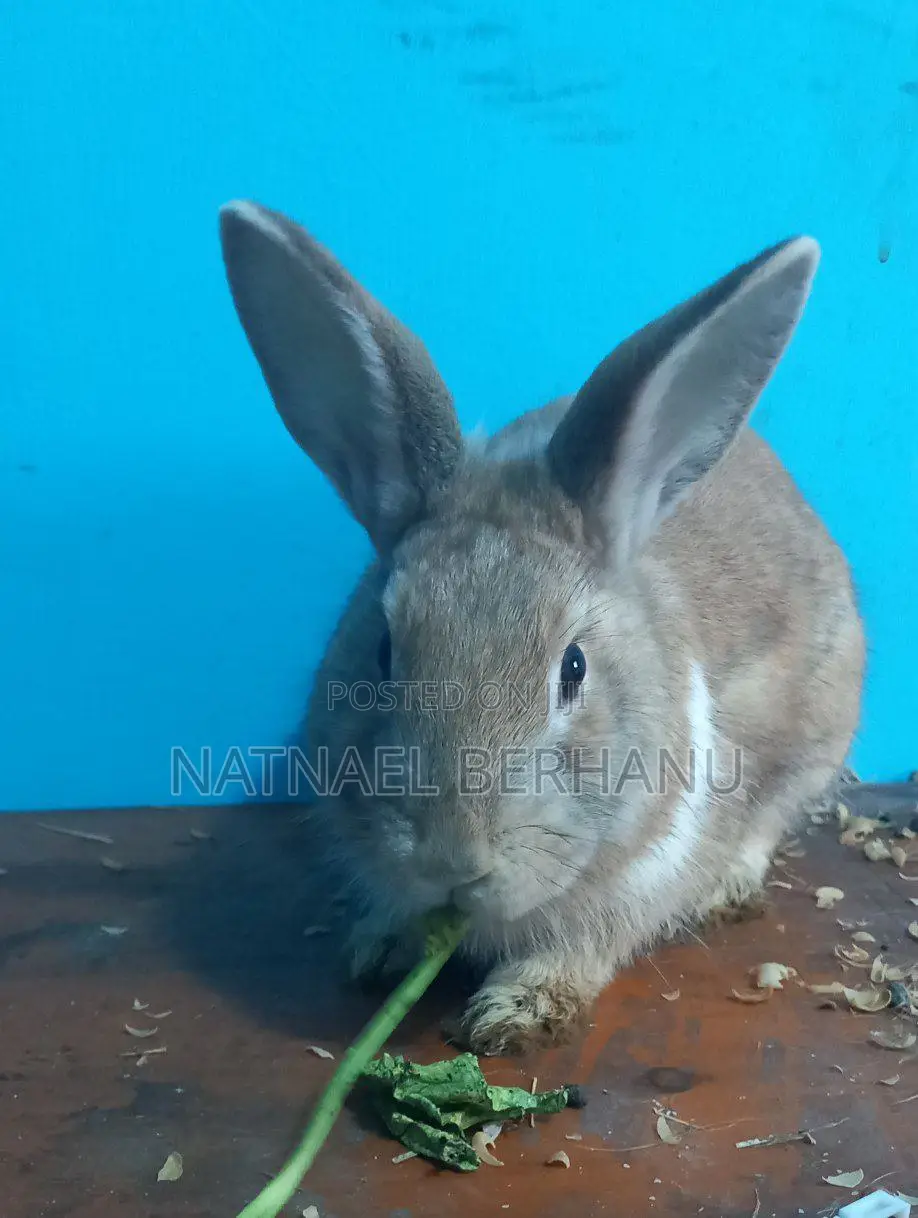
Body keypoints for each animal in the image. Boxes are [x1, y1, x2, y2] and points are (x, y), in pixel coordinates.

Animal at [218, 200, 865, 1056]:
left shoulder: (638, 880)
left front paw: (513, 1012)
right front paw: (380, 949)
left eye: (574, 670)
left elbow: (581, 945)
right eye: (383, 650)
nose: (453, 857)